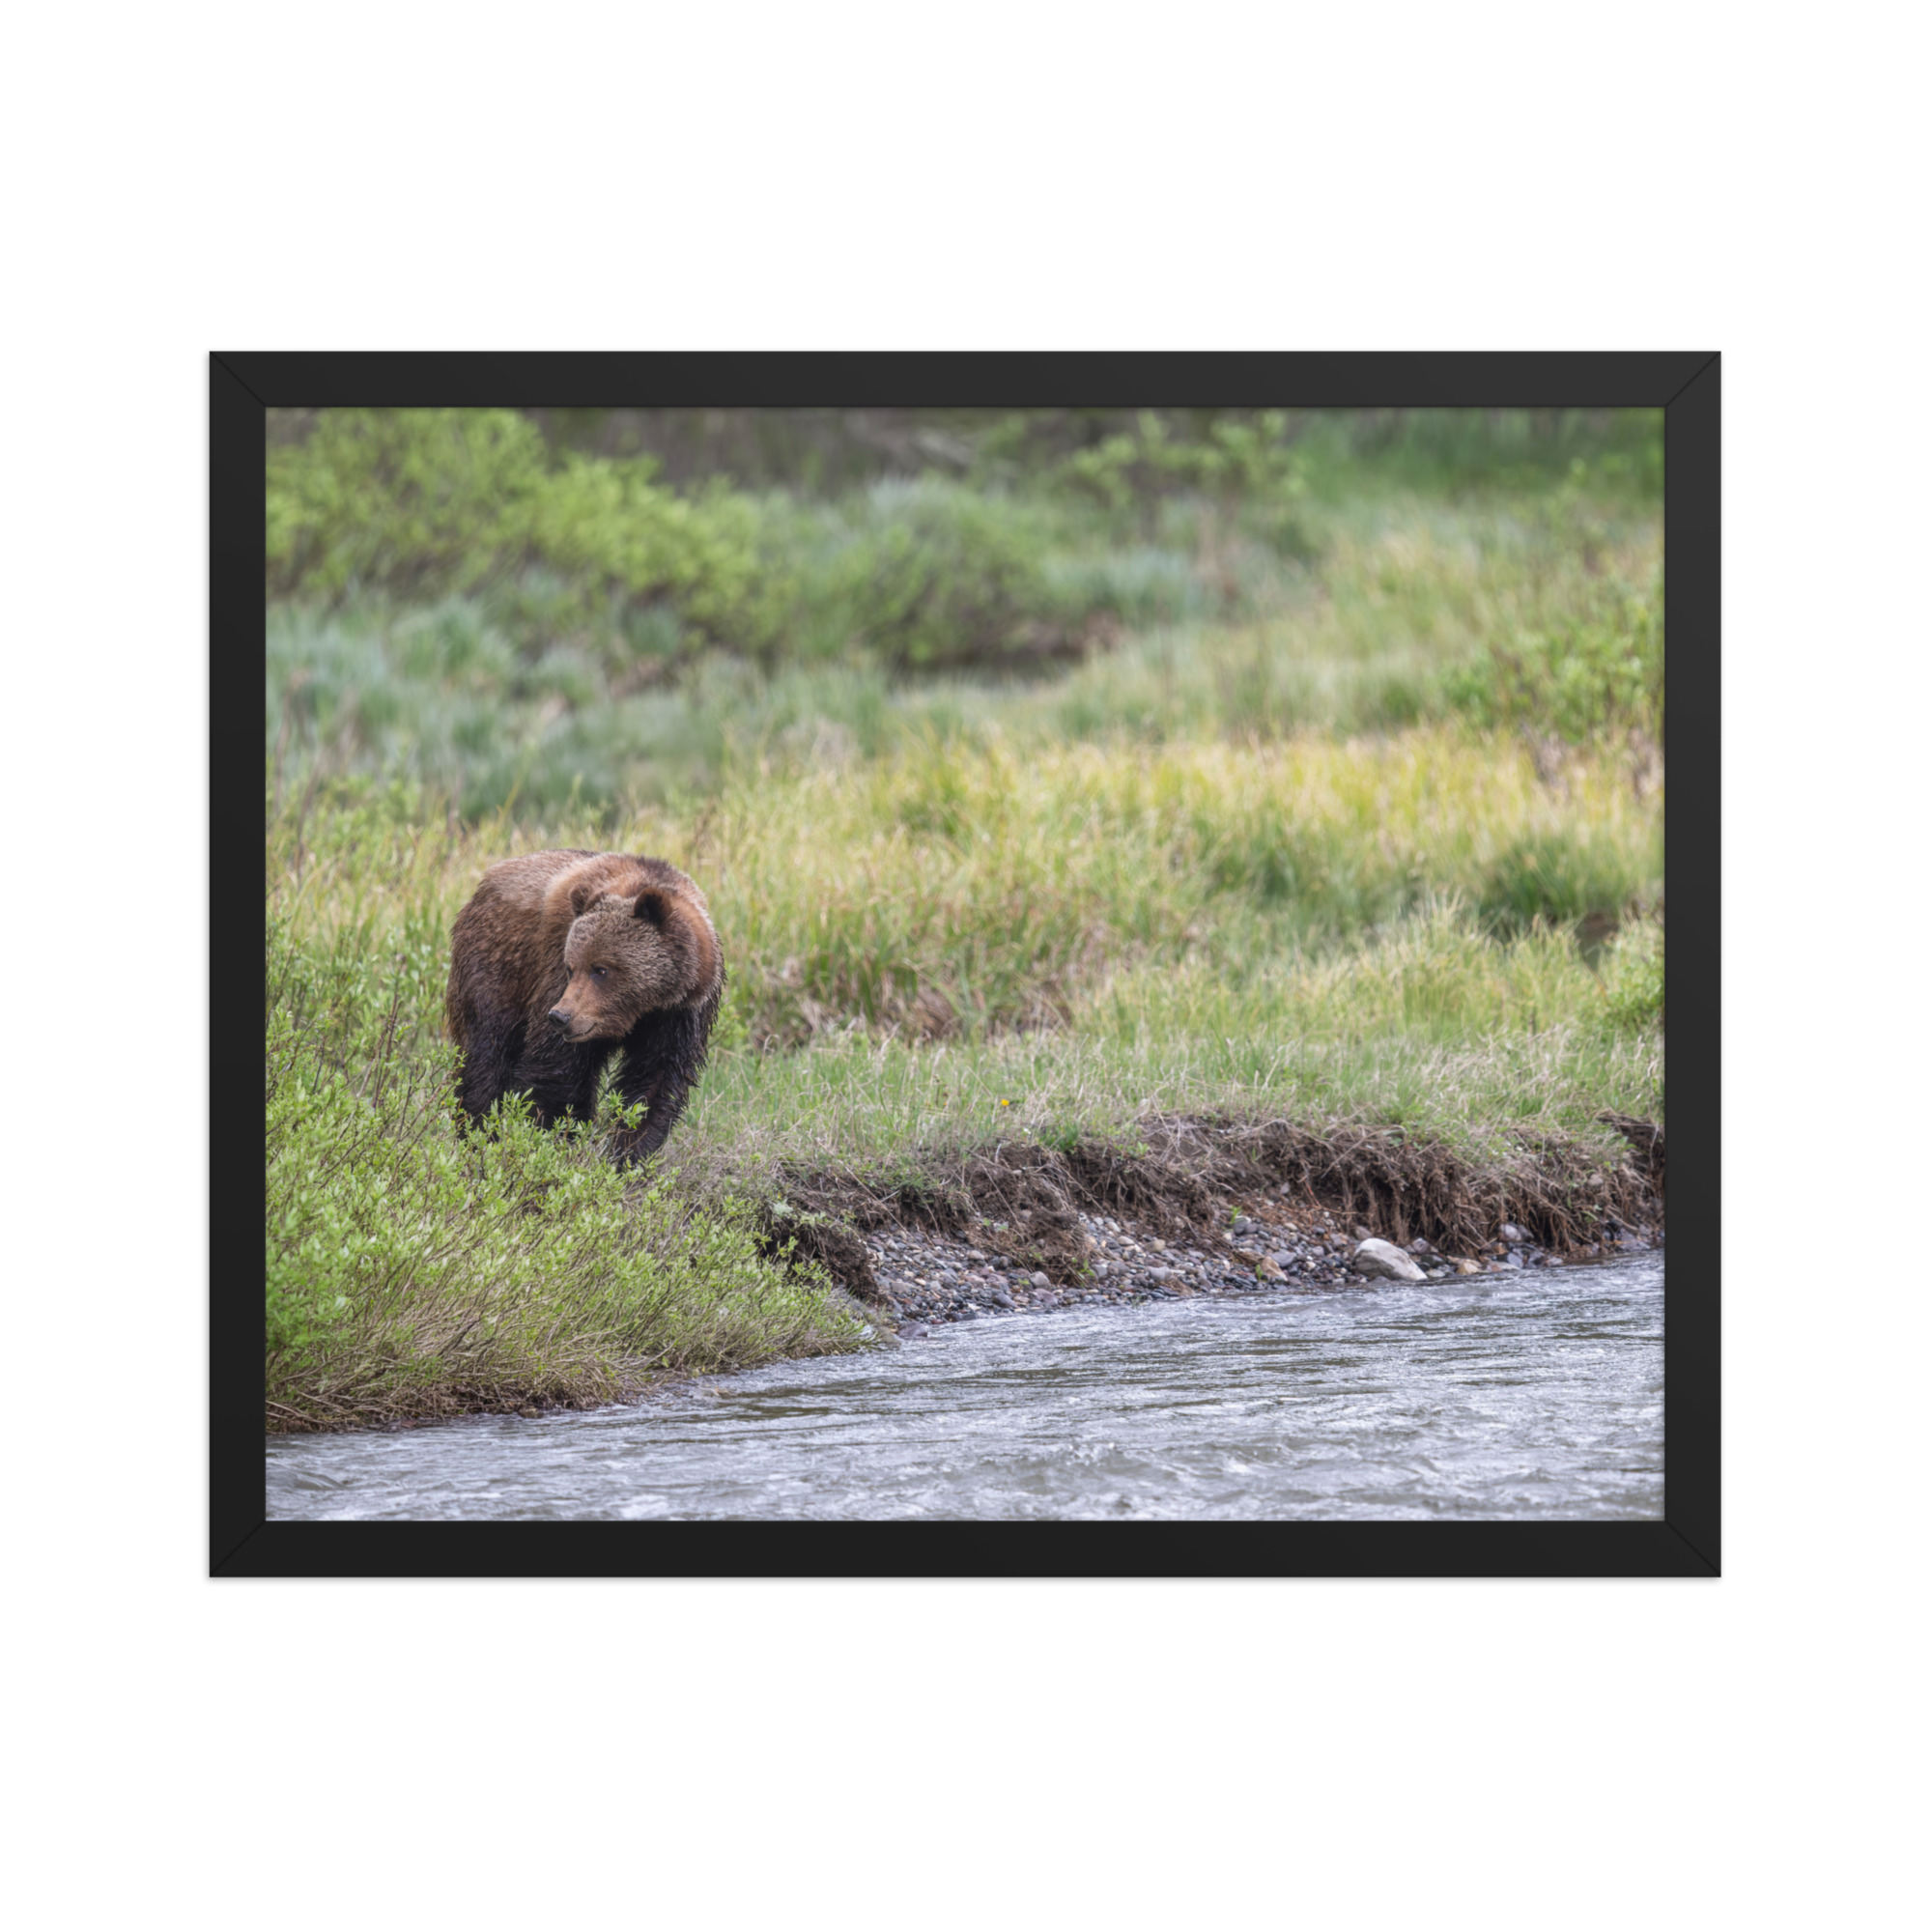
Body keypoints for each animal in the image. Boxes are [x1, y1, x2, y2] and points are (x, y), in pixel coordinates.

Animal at [445, 849, 725, 1164]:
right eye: (571, 967)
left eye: (601, 969)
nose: (560, 1017)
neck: (642, 1009)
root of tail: (485, 882)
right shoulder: (553, 972)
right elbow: (558, 1072)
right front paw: (556, 1142)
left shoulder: (679, 1015)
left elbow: (654, 1083)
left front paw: (628, 1154)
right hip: (497, 968)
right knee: (486, 1057)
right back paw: (478, 1138)